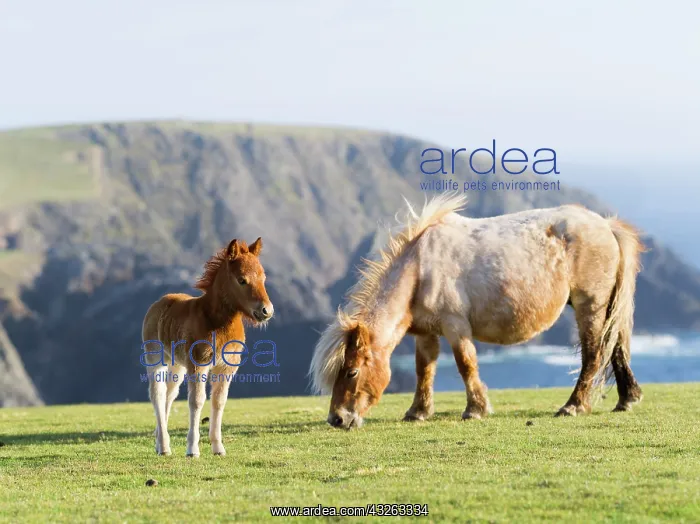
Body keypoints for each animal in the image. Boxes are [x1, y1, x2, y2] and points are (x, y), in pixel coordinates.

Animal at [142, 238, 273, 456]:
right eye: (242, 280)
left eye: (263, 278)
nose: (266, 311)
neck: (216, 322)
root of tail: (159, 303)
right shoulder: (198, 364)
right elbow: (197, 401)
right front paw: (192, 449)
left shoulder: (226, 367)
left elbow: (218, 401)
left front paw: (218, 447)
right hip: (155, 359)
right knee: (157, 394)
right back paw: (164, 447)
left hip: (177, 364)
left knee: (170, 393)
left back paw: (161, 443)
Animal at [310, 193, 645, 429]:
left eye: (352, 371)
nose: (337, 419)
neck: (420, 268)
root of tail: (606, 225)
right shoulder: (426, 333)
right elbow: (424, 369)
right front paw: (418, 412)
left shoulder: (455, 326)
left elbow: (465, 364)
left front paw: (475, 409)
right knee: (615, 346)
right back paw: (627, 399)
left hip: (591, 305)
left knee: (594, 354)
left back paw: (573, 406)